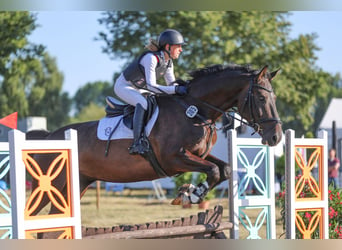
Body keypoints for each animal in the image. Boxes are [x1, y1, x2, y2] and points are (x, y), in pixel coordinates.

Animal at [26, 64, 284, 215]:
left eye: (274, 98)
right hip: (50, 186)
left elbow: (224, 169)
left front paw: (189, 192)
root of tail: (49, 136)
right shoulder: (174, 159)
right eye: (261, 98)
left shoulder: (197, 155)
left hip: (75, 186)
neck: (194, 109)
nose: (276, 136)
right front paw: (191, 194)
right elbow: (213, 170)